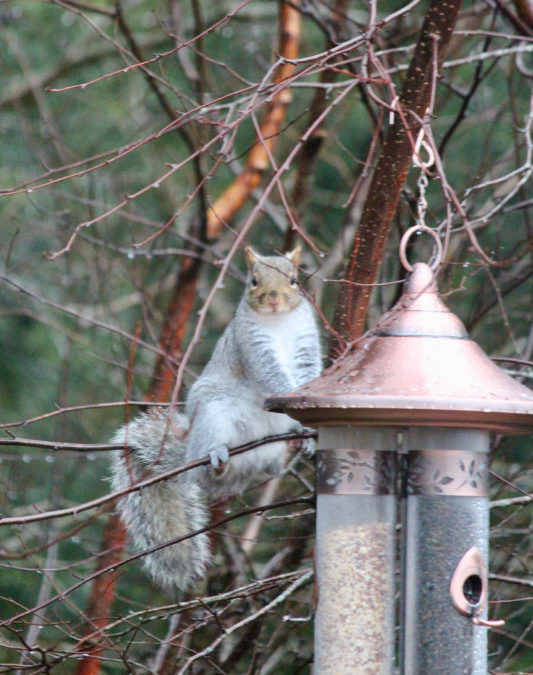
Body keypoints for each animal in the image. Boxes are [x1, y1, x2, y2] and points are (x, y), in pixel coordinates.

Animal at [110, 247, 322, 592]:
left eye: (294, 280)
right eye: (253, 281)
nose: (273, 299)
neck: (278, 321)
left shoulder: (306, 344)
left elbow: (310, 374)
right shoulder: (251, 346)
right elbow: (272, 376)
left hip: (265, 453)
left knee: (272, 468)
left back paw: (292, 448)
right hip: (214, 415)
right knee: (208, 474)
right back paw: (216, 458)